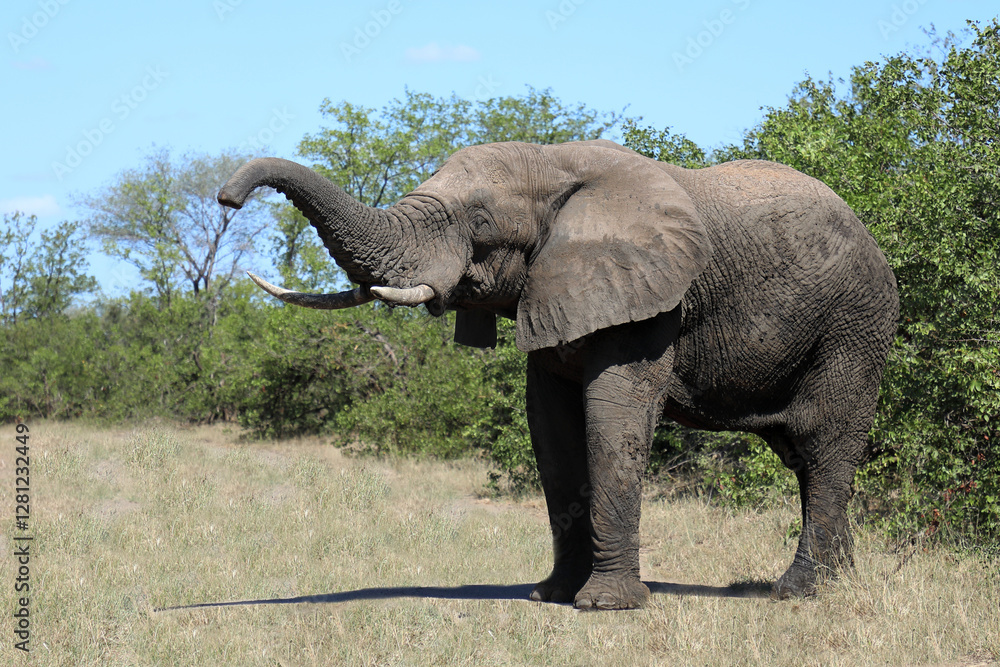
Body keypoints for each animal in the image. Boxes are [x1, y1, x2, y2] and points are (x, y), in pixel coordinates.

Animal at [218, 139, 899, 610]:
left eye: (479, 220)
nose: (227, 197)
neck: (554, 164)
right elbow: (552, 432)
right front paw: (550, 596)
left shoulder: (650, 298)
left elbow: (611, 423)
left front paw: (606, 606)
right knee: (804, 458)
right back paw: (839, 582)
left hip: (855, 326)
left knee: (822, 445)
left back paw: (798, 591)